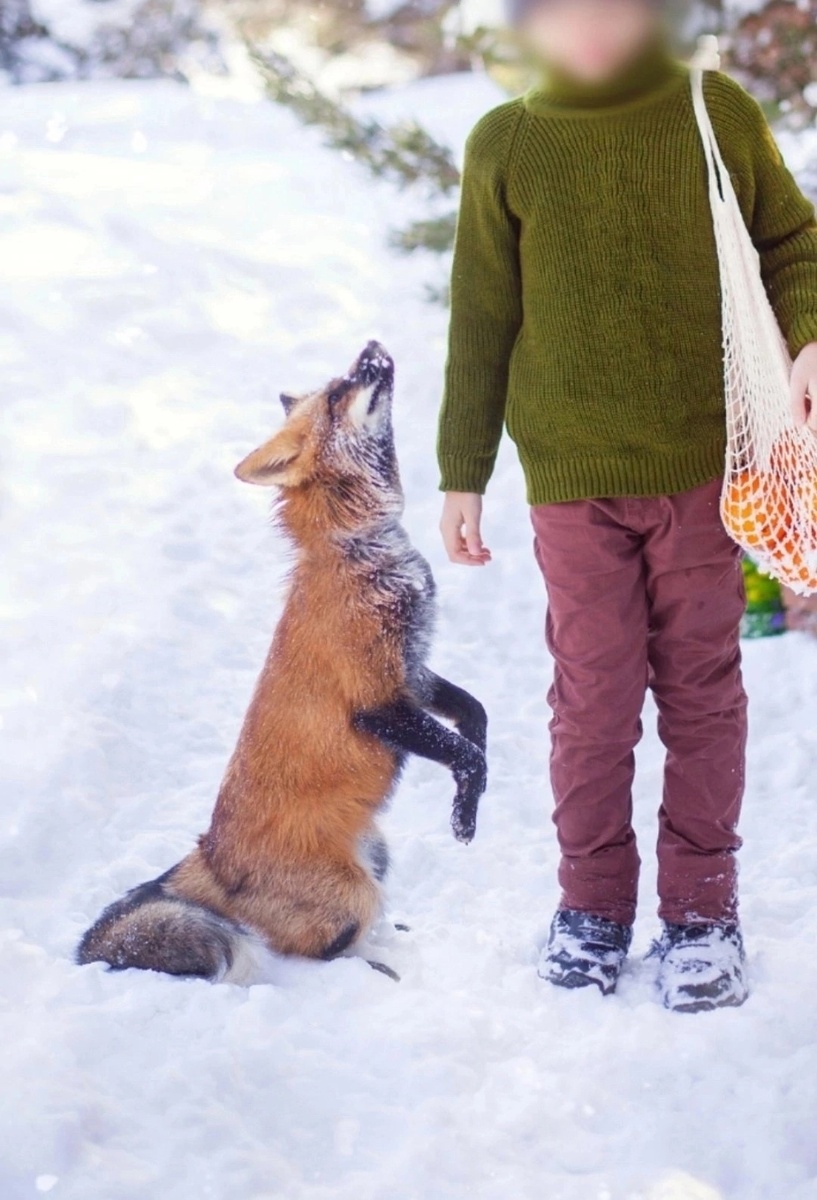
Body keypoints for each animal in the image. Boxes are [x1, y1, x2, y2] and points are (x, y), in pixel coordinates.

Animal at [77, 340, 484, 984]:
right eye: (340, 391)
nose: (371, 346)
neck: (359, 547)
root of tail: (209, 859)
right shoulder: (376, 699)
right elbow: (465, 754)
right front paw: (466, 814)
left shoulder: (412, 671)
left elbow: (475, 716)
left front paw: (472, 795)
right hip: (352, 892)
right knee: (316, 953)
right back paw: (371, 967)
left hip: (377, 854)